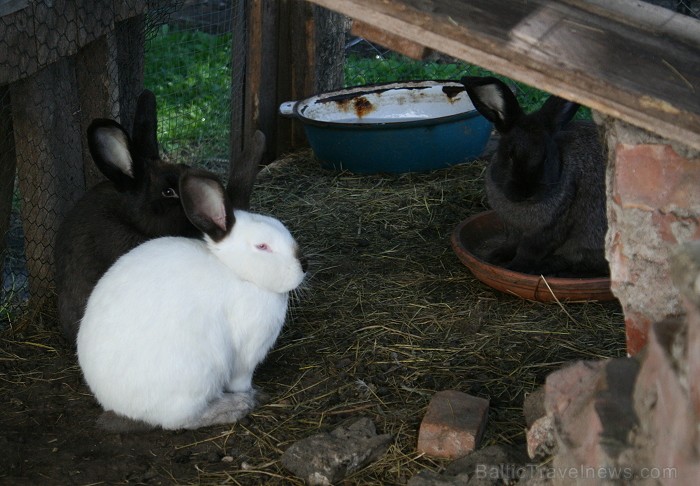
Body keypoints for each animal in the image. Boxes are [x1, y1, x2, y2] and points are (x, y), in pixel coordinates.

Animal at [77, 169, 306, 430]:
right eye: (262, 246)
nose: (304, 266)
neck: (238, 273)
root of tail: (117, 404)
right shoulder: (247, 354)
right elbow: (242, 381)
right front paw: (252, 394)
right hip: (197, 378)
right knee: (186, 420)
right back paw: (235, 407)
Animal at [460, 74, 608, 276]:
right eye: (510, 154)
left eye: (545, 157)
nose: (525, 191)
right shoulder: (512, 229)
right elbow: (511, 244)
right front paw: (496, 255)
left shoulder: (547, 232)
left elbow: (527, 252)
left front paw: (514, 268)